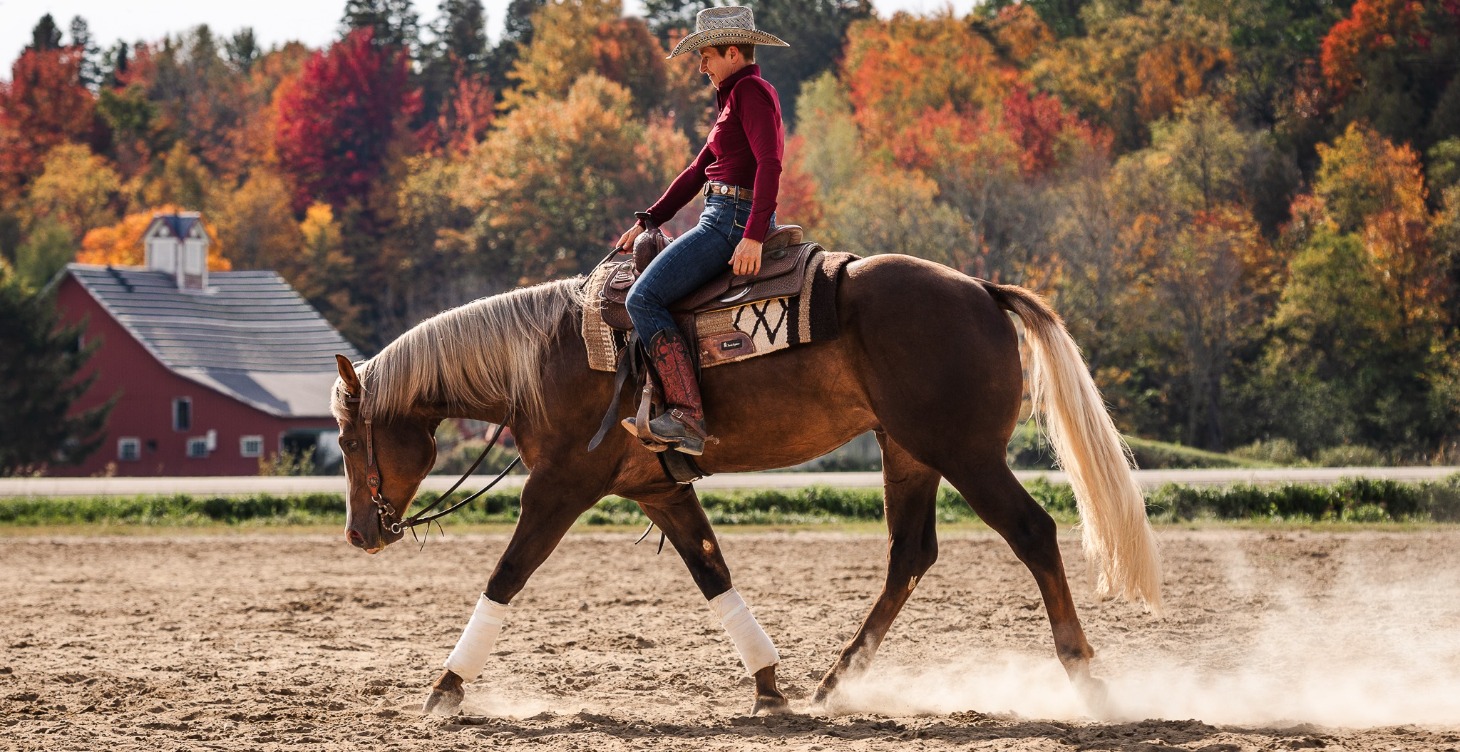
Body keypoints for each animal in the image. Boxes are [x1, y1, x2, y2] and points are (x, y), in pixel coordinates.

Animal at [331, 252, 1162, 718]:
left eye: (346, 438)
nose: (359, 534)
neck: (544, 358)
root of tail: (982, 290)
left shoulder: (559, 487)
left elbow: (505, 577)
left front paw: (445, 689)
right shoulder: (660, 491)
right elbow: (713, 572)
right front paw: (768, 686)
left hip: (966, 454)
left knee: (1032, 533)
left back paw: (1084, 677)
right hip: (909, 453)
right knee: (910, 556)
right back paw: (835, 682)